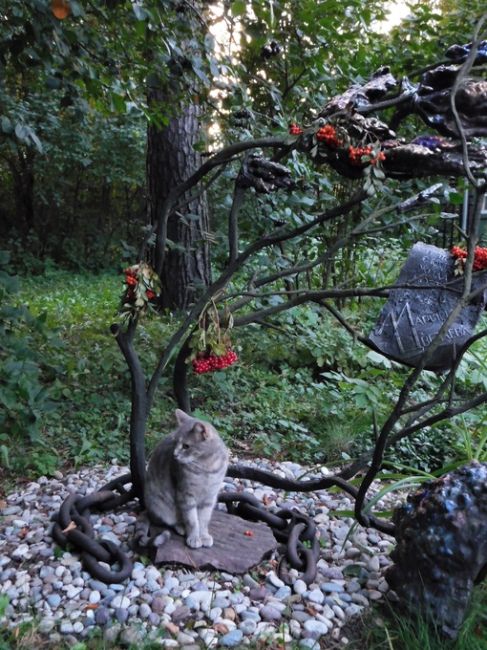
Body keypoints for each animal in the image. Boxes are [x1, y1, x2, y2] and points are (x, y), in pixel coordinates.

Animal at [144, 408, 230, 544]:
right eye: (175, 442)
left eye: (186, 446)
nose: (174, 455)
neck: (206, 468)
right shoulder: (185, 494)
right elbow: (192, 520)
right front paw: (194, 537)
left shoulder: (210, 497)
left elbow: (203, 520)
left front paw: (203, 536)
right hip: (160, 506)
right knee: (171, 521)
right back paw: (181, 527)